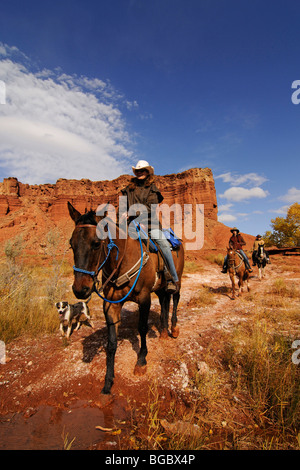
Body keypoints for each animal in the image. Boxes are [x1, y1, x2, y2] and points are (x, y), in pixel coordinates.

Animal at [68, 202, 184, 396]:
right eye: (71, 244)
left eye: (96, 243)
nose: (80, 289)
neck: (122, 261)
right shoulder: (111, 305)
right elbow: (111, 343)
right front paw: (108, 381)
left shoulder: (144, 298)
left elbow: (142, 328)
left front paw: (141, 362)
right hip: (160, 288)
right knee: (164, 302)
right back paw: (163, 331)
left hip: (178, 279)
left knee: (175, 299)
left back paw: (173, 329)